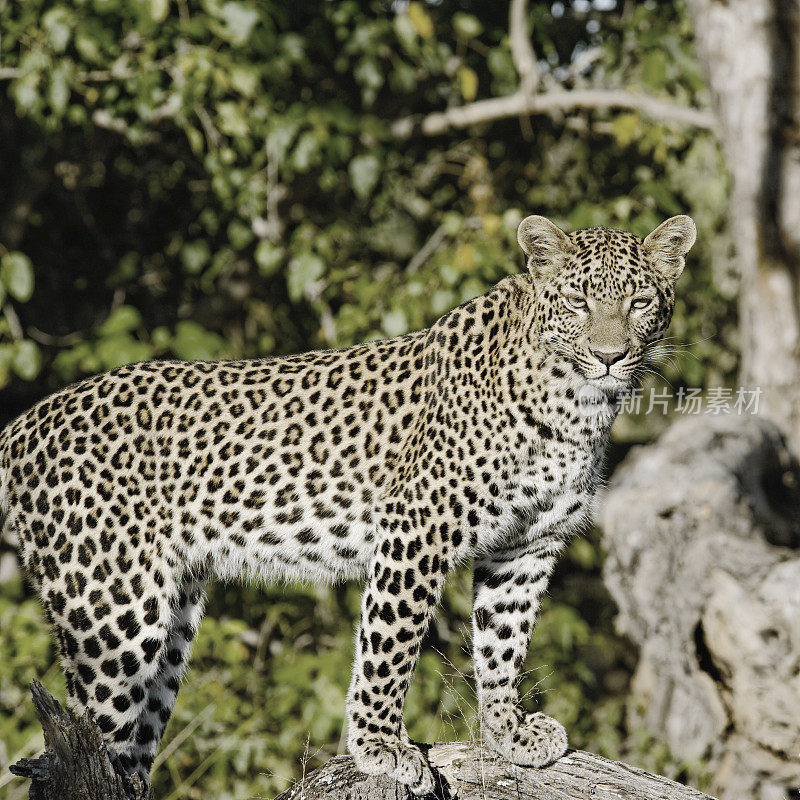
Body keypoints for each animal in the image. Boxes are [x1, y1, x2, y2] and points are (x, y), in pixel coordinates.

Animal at [1, 212, 692, 792]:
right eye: (578, 301)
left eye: (639, 303)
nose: (609, 356)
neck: (580, 406)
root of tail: (22, 423)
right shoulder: (416, 530)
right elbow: (390, 646)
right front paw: (380, 747)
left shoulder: (528, 545)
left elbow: (503, 641)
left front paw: (508, 734)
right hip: (114, 611)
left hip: (170, 624)